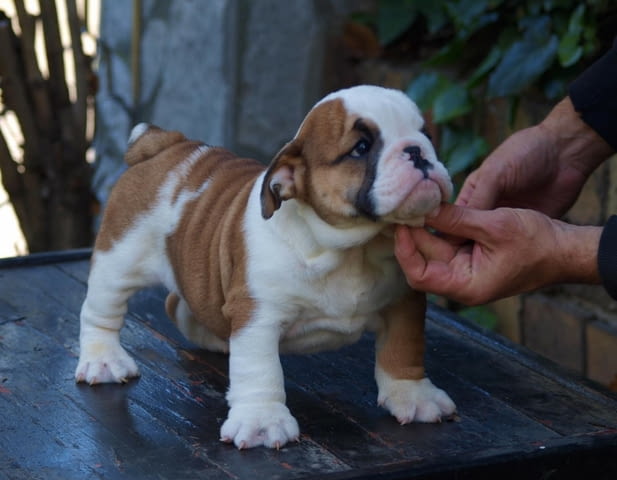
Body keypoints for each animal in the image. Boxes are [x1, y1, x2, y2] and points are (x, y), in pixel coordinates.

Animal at [73, 85, 458, 450]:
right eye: (361, 147)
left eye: (426, 133)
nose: (416, 151)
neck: (352, 249)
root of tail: (167, 144)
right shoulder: (258, 315)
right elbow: (260, 371)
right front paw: (261, 421)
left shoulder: (404, 300)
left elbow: (403, 348)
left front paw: (414, 396)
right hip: (120, 256)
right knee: (102, 309)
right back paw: (103, 360)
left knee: (179, 304)